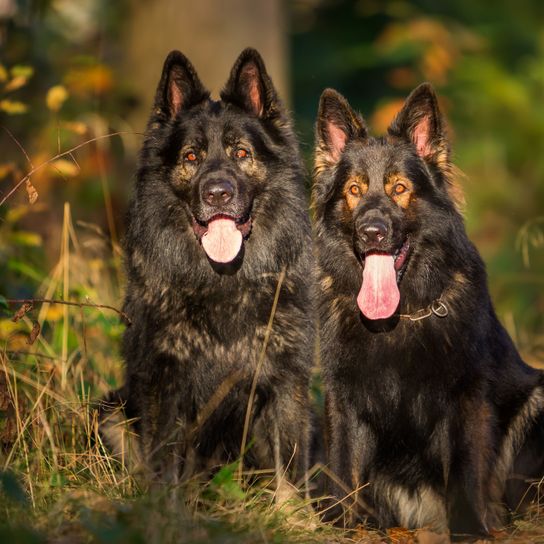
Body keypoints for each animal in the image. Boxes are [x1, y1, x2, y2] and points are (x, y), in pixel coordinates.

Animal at [99, 47, 314, 488]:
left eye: (241, 153)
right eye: (191, 157)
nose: (217, 193)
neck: (224, 283)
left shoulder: (286, 383)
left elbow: (289, 472)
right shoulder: (164, 383)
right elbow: (164, 463)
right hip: (110, 412)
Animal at [310, 83, 544, 536]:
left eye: (399, 189)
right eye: (354, 191)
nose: (372, 232)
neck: (397, 318)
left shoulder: (466, 396)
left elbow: (467, 468)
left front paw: (472, 531)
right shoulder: (343, 398)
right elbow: (345, 468)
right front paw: (343, 525)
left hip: (537, 397)